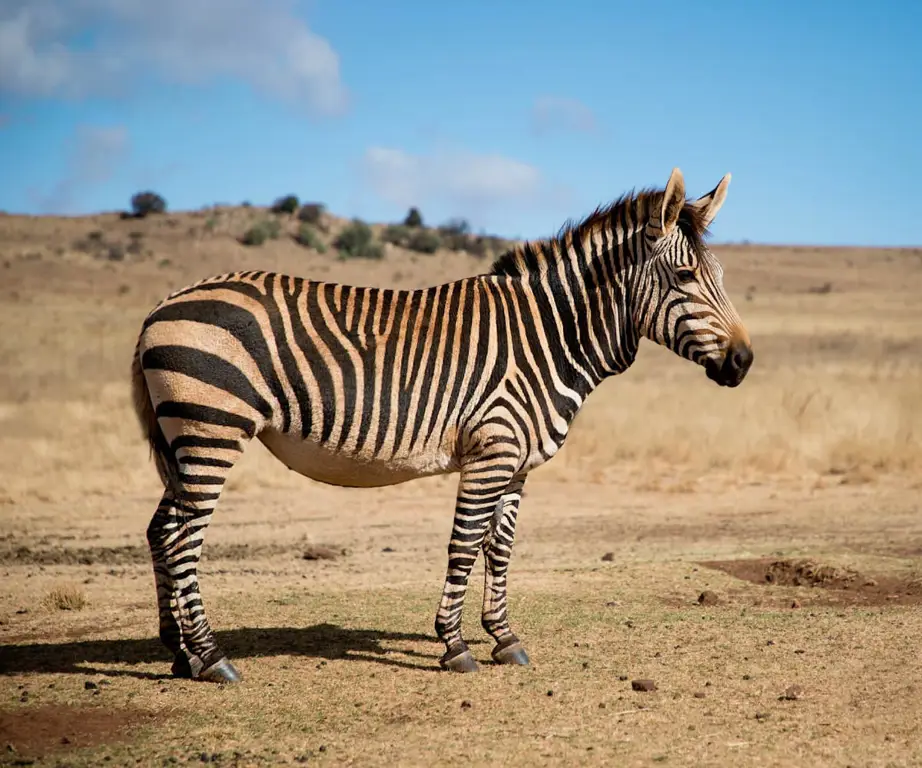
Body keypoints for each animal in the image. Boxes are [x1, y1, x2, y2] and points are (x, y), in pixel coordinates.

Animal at [131, 170, 748, 684]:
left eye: (721, 275)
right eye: (686, 276)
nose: (744, 362)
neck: (550, 337)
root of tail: (161, 306)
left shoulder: (516, 464)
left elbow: (500, 548)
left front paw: (504, 638)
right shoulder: (492, 451)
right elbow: (465, 544)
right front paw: (455, 645)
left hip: (182, 441)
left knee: (162, 531)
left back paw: (179, 653)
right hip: (212, 431)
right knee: (184, 540)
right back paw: (212, 658)